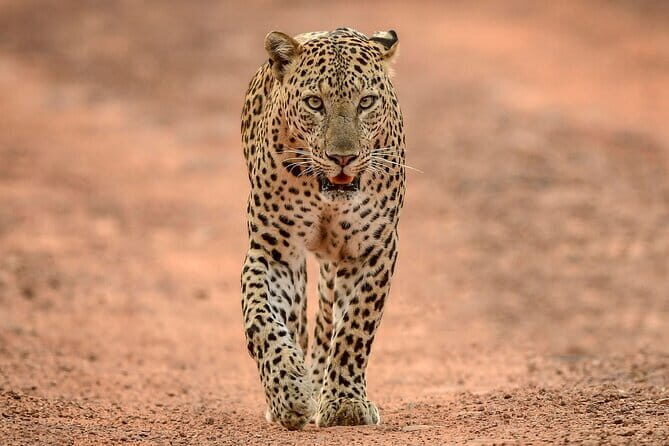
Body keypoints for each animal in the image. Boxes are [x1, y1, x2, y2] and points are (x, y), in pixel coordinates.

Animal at [240, 27, 406, 430]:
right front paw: (289, 393)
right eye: (315, 103)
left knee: (329, 319)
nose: (342, 157)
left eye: (366, 102)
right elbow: (262, 320)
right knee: (298, 320)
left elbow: (355, 327)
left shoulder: (373, 250)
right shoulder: (275, 252)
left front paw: (345, 402)